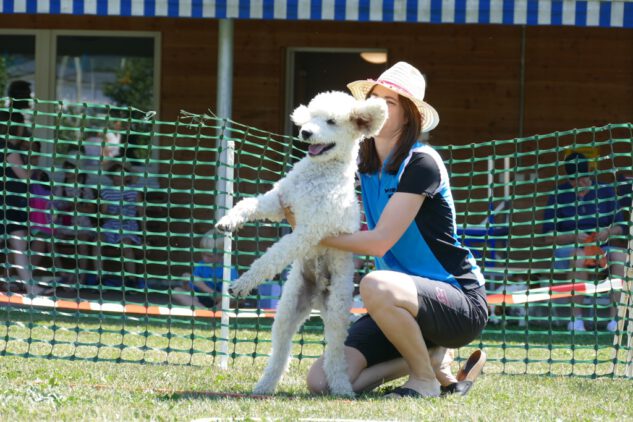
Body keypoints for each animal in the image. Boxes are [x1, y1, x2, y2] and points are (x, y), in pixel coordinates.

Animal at [215, 91, 387, 396]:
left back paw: (341, 388)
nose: (305, 132)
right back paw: (265, 385)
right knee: (281, 351)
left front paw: (243, 283)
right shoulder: (278, 202)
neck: (317, 173)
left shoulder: (308, 230)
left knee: (335, 354)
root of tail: (317, 296)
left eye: (331, 121)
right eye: (312, 116)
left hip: (337, 310)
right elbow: (247, 204)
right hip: (289, 308)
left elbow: (272, 256)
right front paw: (227, 221)